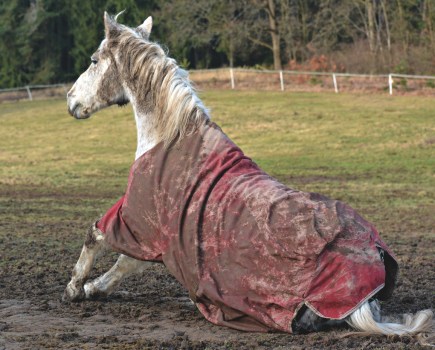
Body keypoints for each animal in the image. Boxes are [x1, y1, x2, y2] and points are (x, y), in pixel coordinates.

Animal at [63, 12, 434, 340]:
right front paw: (92, 288)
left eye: (93, 60)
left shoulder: (138, 222)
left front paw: (77, 287)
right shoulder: (157, 235)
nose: (70, 100)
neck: (171, 136)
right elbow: (126, 263)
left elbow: (97, 237)